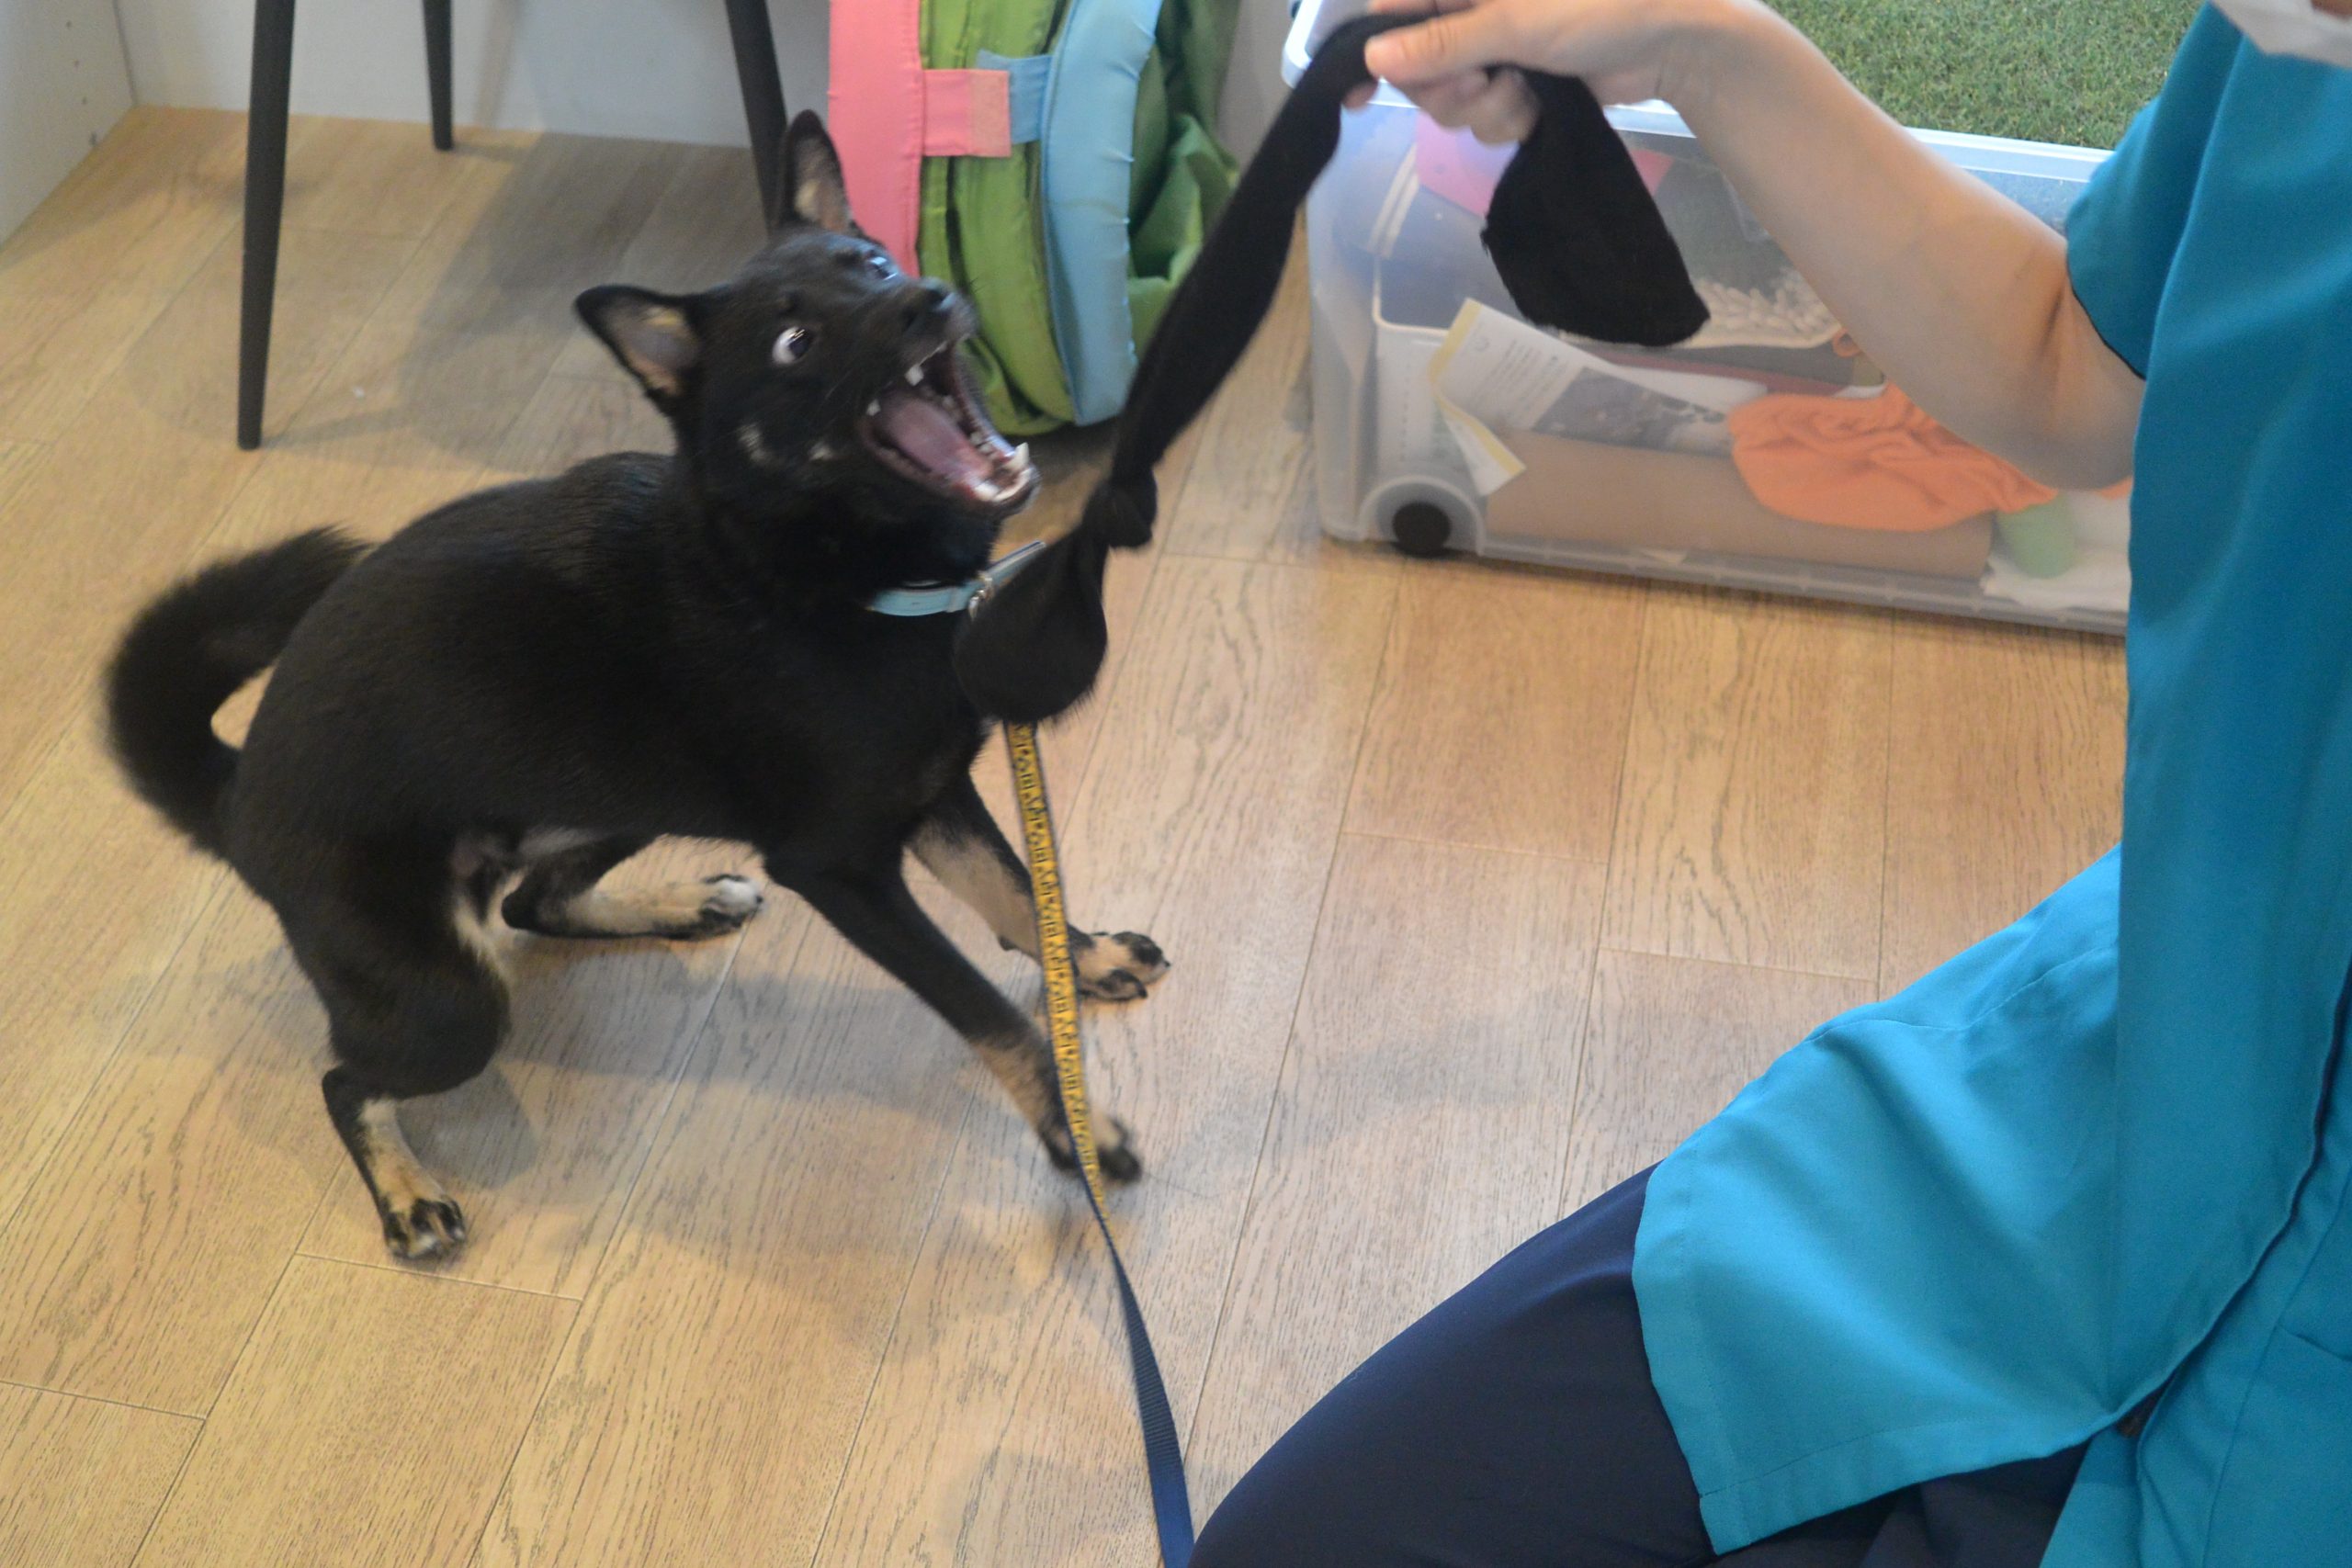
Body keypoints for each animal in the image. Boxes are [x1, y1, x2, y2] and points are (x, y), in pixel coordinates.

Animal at [105, 113, 1166, 1261]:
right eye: (797, 346)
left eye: (873, 265)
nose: (926, 298)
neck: (812, 566)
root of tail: (236, 787)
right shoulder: (842, 869)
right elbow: (987, 1010)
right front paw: (1075, 1138)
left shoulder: (935, 796)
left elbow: (1015, 893)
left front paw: (1085, 959)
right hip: (447, 1006)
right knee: (347, 1080)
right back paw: (403, 1193)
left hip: (616, 804)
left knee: (530, 902)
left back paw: (678, 901)